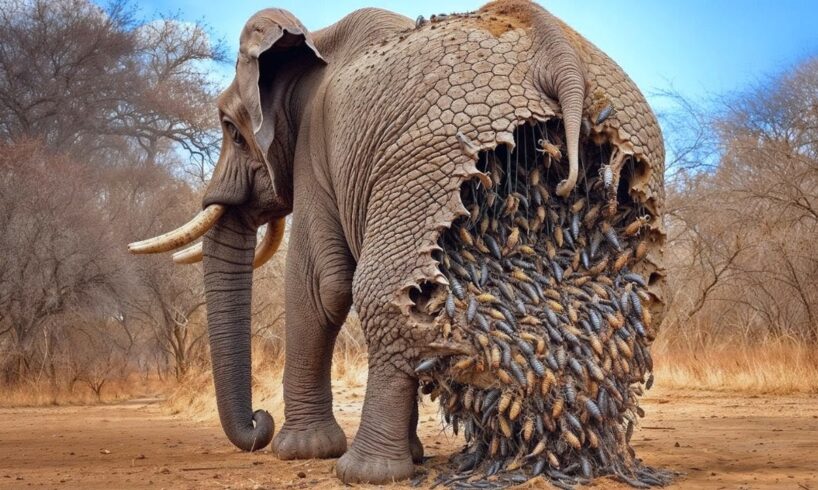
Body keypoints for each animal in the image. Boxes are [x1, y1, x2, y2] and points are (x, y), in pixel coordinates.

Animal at [129, 0, 665, 484]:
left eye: (232, 131)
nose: (260, 422)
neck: (315, 41)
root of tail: (560, 58)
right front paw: (407, 454)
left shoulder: (316, 151)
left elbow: (319, 289)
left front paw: (301, 452)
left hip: (426, 159)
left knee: (381, 296)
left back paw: (364, 473)